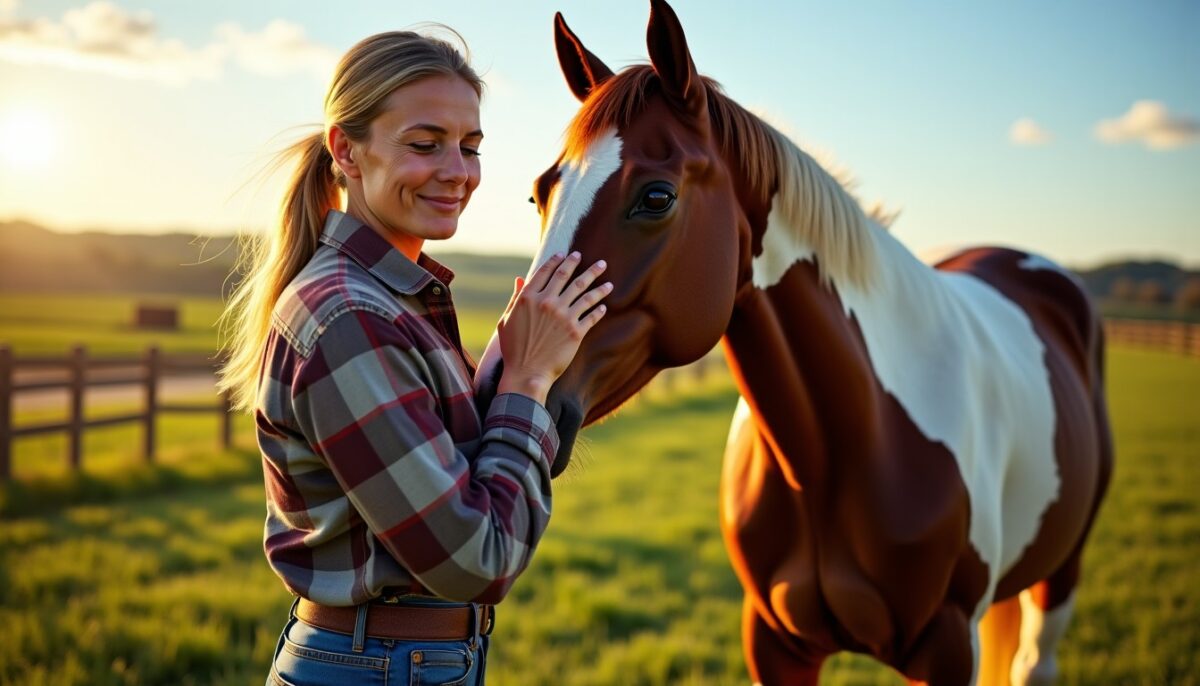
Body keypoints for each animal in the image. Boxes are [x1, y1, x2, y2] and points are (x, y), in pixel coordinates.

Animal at [475, 2, 1113, 683]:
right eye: (540, 192)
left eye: (656, 197)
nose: (495, 389)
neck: (847, 452)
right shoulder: (774, 641)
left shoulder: (948, 647)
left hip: (1063, 572)